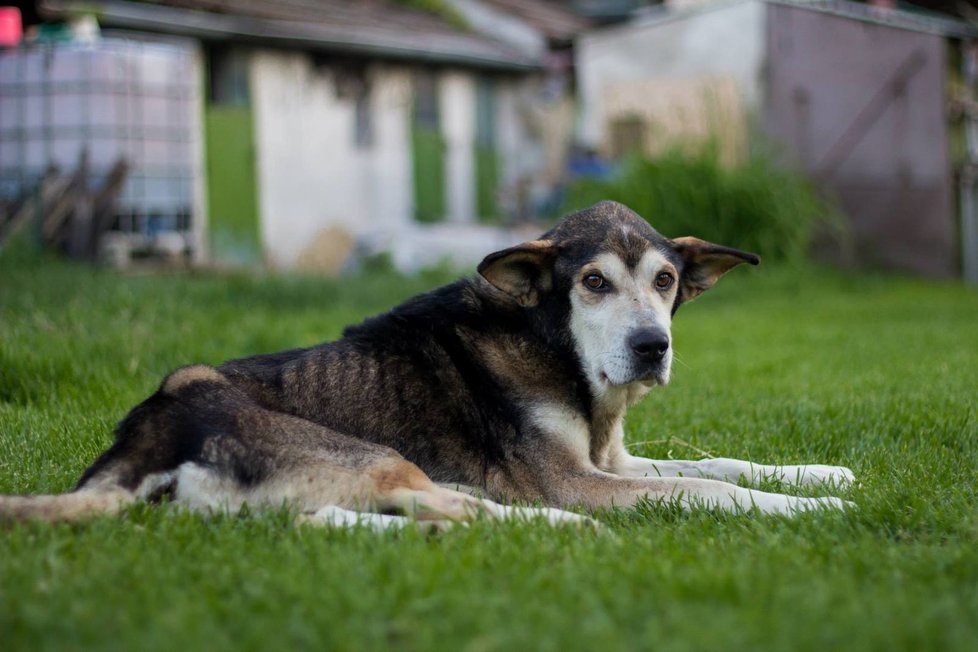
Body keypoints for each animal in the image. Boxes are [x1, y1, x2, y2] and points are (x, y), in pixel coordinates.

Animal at [0, 200, 852, 528]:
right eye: (594, 283)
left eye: (666, 281)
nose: (652, 346)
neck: (555, 349)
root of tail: (136, 446)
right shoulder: (577, 479)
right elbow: (706, 487)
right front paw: (814, 510)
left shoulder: (615, 459)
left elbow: (720, 460)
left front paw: (825, 477)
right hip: (367, 453)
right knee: (457, 509)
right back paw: (551, 527)